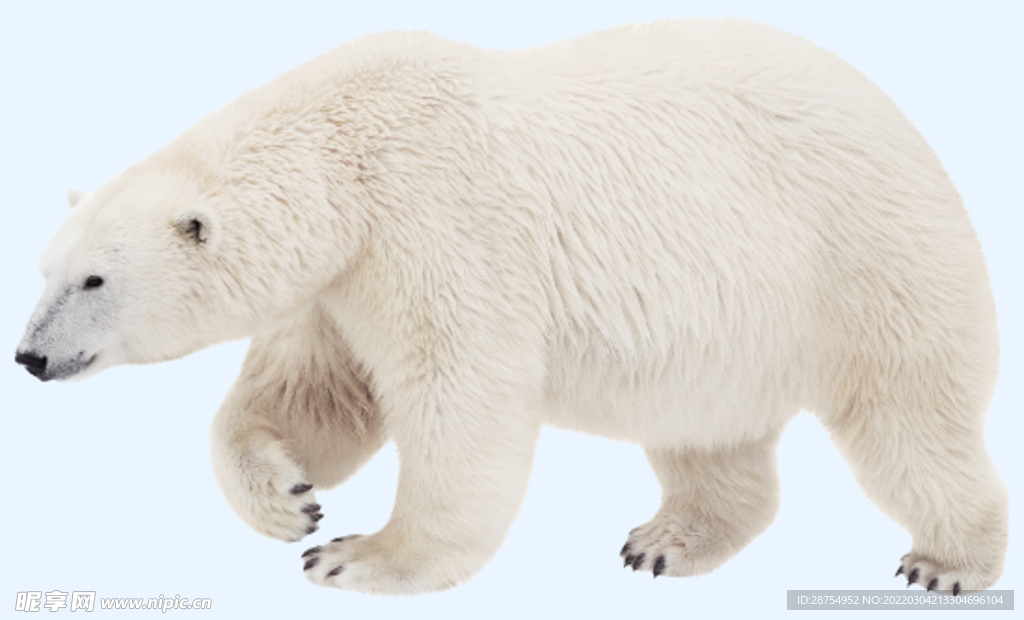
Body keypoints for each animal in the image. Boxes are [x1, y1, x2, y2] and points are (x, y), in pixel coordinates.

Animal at [15, 19, 1006, 596]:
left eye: (94, 281)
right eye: (44, 270)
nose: (29, 356)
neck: (346, 152)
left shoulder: (435, 225)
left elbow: (459, 400)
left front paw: (358, 555)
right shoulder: (342, 282)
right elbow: (315, 395)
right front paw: (289, 499)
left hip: (858, 257)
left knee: (908, 417)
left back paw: (948, 561)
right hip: (727, 325)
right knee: (706, 433)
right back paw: (665, 541)